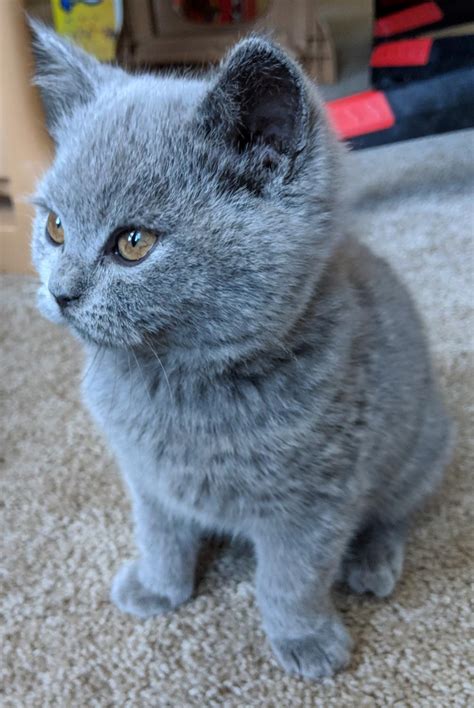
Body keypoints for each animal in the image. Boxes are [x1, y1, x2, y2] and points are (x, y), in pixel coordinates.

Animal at [28, 19, 452, 676]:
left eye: (133, 243)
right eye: (54, 228)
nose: (60, 291)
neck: (175, 381)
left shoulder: (316, 501)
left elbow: (291, 578)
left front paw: (305, 639)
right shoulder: (146, 479)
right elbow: (160, 536)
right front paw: (159, 587)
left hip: (419, 447)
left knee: (393, 512)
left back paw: (371, 562)